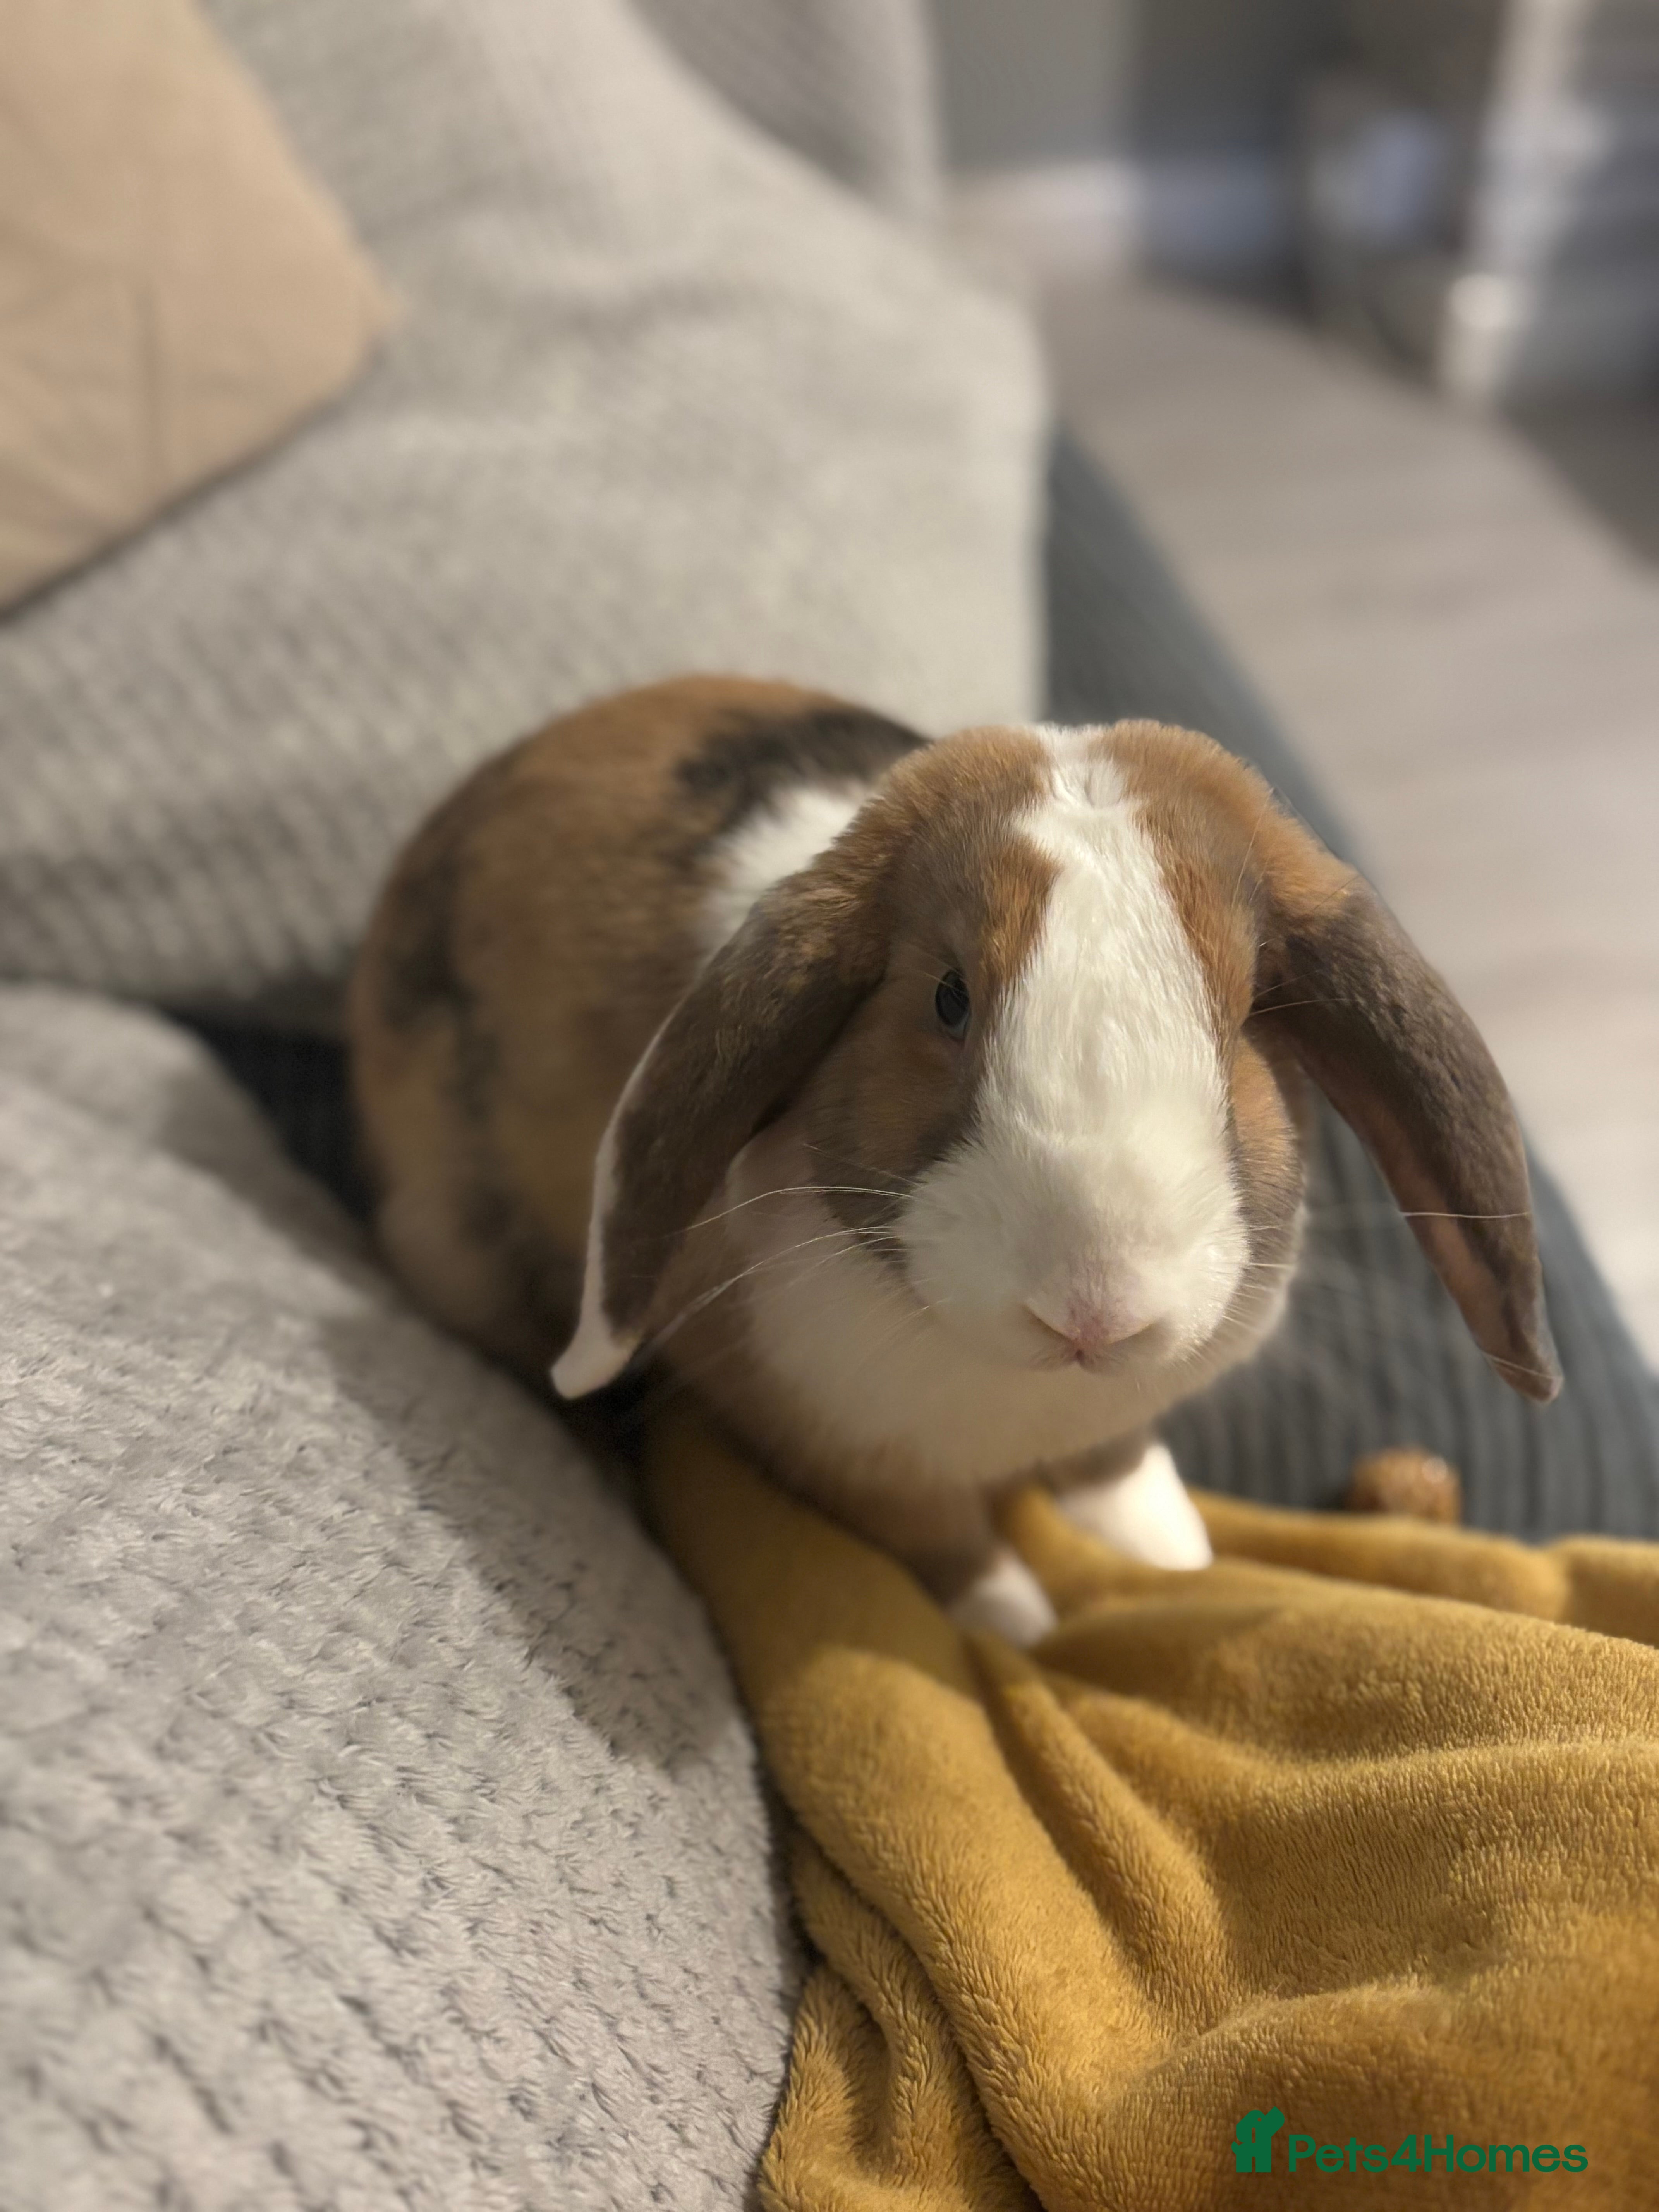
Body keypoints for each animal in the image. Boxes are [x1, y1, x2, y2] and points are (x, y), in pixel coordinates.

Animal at [349, 675, 1558, 1645]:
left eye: (1247, 1014)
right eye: (947, 998)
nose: (1095, 1309)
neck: (1025, 1398)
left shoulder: (1113, 1419)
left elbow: (1118, 1461)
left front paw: (1168, 1547)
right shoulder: (835, 1451)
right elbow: (943, 1541)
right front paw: (1017, 1624)